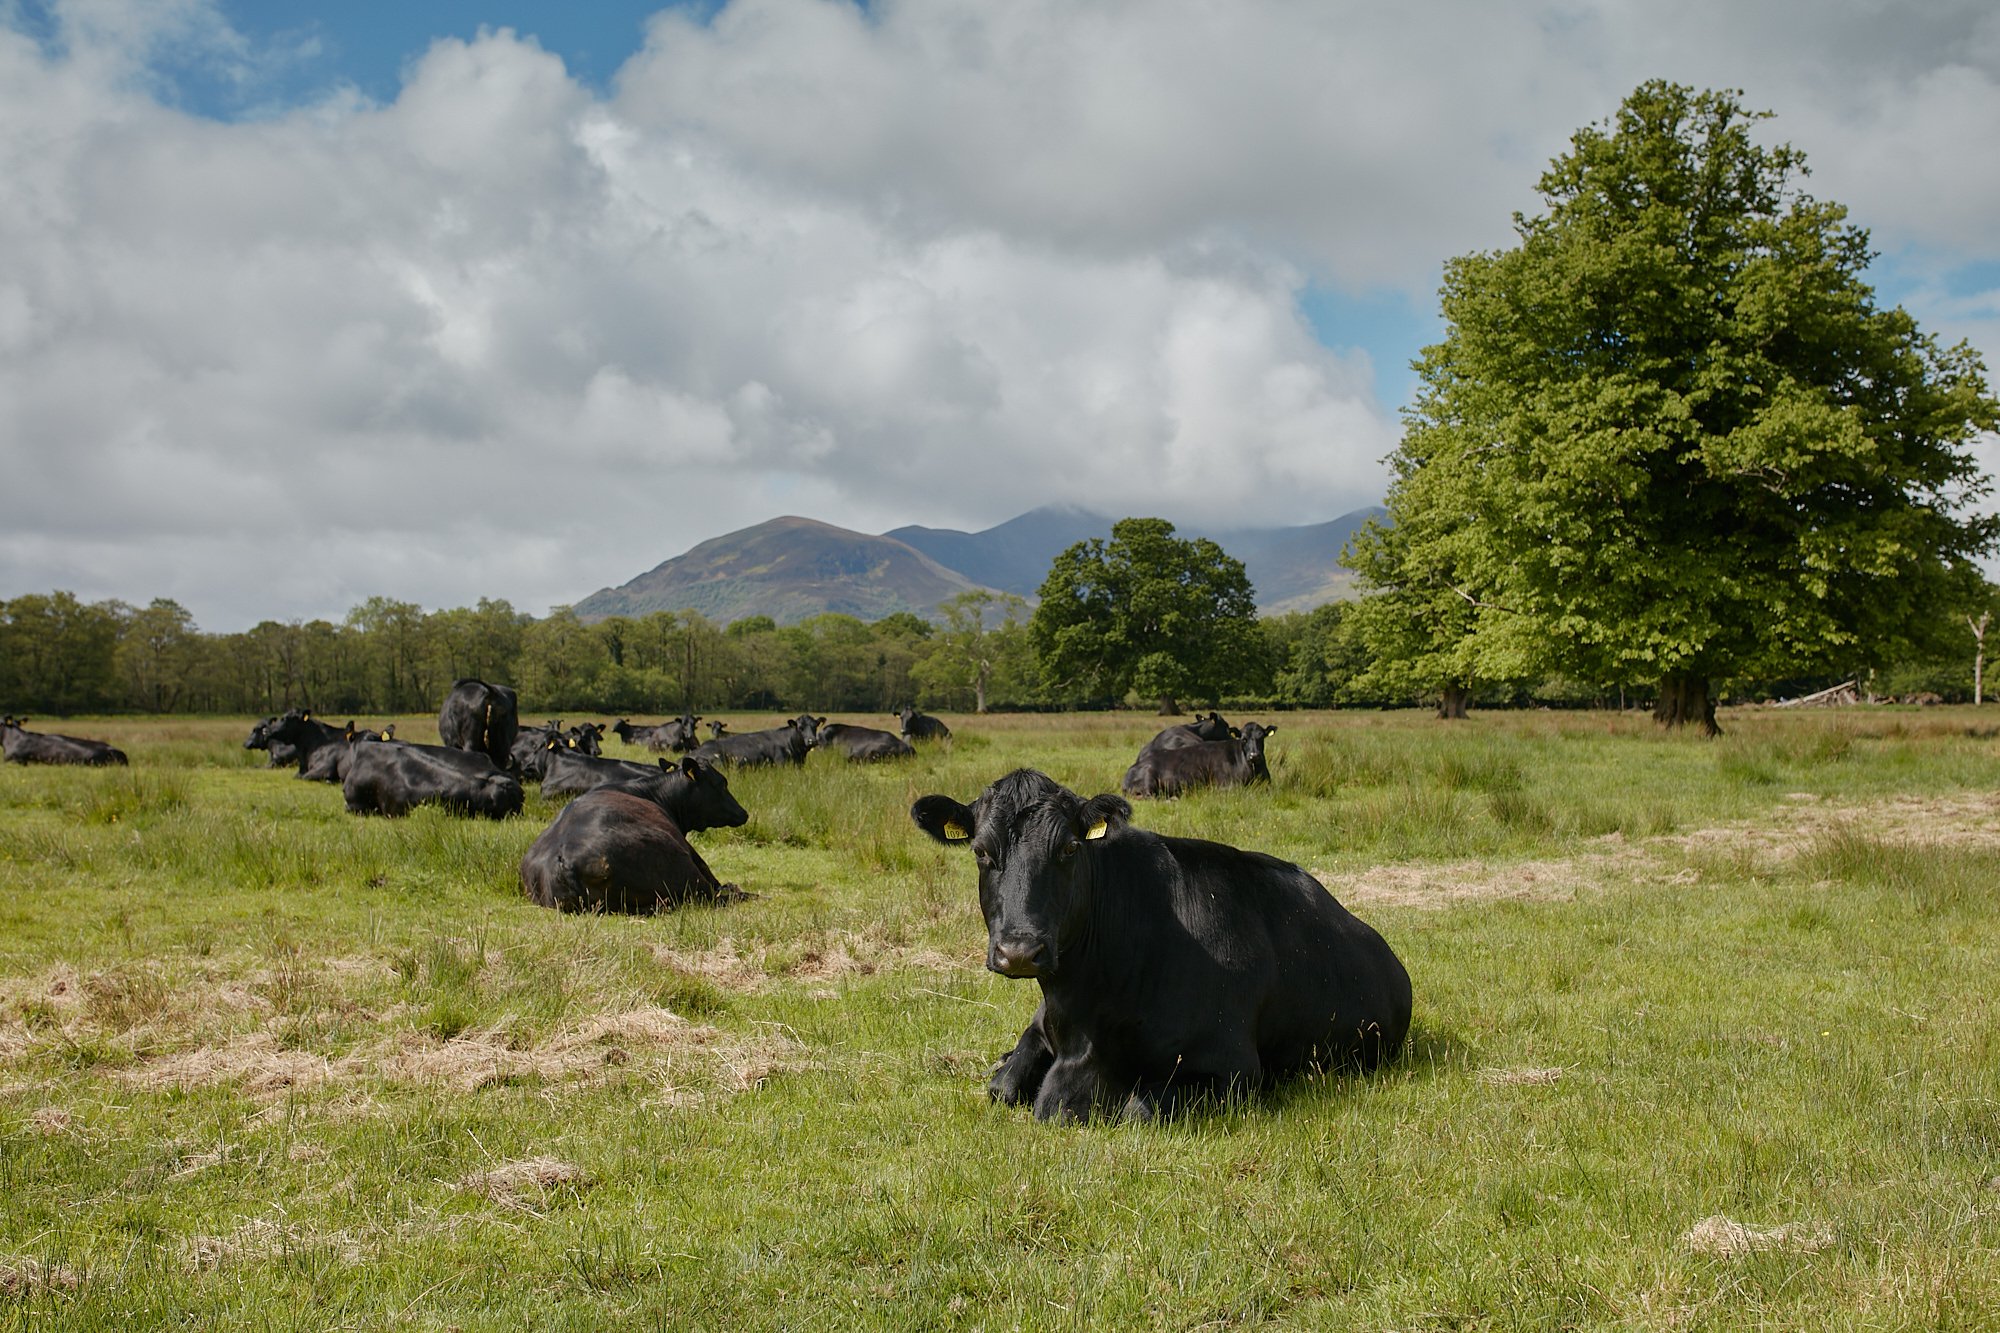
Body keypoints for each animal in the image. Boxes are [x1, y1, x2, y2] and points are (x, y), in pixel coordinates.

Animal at [916, 768, 1416, 1120]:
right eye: (981, 851)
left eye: (1070, 849)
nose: (1019, 951)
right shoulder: (1046, 1024)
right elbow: (1001, 1087)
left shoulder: (1233, 1071)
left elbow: (1135, 1108)